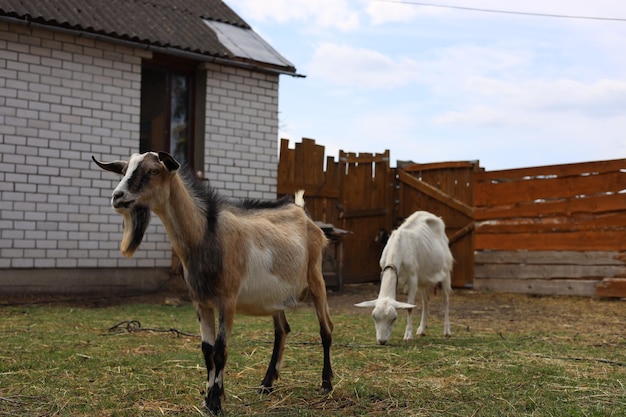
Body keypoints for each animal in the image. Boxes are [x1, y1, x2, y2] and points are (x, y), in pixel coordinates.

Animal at [92, 152, 332, 412]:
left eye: (153, 171)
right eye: (124, 170)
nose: (118, 196)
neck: (205, 233)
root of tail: (302, 212)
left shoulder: (228, 301)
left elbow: (220, 350)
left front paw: (216, 402)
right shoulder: (201, 302)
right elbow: (207, 351)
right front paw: (208, 399)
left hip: (316, 277)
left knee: (326, 328)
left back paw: (327, 384)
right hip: (275, 296)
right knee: (282, 330)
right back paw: (266, 384)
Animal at [356, 211, 448, 344]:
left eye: (394, 318)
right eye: (374, 316)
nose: (382, 341)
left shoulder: (413, 278)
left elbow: (409, 308)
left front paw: (408, 335)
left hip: (446, 270)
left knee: (446, 299)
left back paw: (447, 331)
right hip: (423, 278)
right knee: (426, 301)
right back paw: (422, 330)